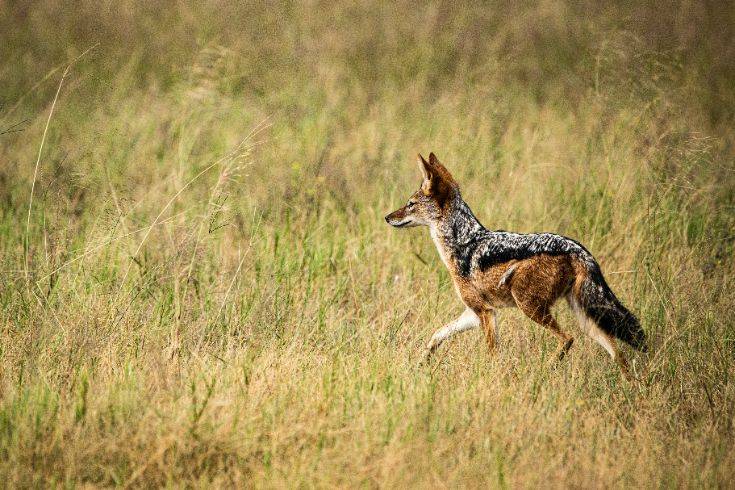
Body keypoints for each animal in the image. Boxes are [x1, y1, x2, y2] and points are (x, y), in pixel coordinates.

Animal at [385, 153, 646, 379]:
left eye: (410, 204)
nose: (387, 217)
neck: (463, 242)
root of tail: (578, 250)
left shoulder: (486, 313)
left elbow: (492, 354)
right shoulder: (473, 313)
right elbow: (436, 335)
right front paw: (421, 363)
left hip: (530, 307)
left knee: (568, 338)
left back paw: (547, 370)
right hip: (585, 318)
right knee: (617, 352)